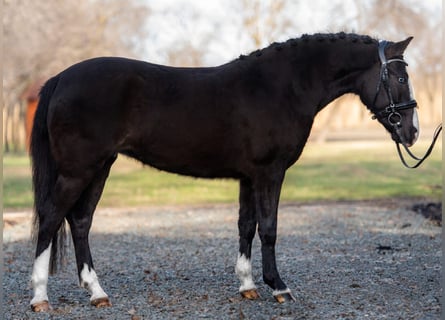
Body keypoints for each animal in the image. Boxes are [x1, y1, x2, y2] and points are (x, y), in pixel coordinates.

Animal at [30, 32, 416, 310]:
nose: (412, 132)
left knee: (80, 221)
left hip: (99, 167)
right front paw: (279, 287)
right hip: (79, 170)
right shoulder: (270, 173)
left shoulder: (249, 177)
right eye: (399, 77)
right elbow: (269, 228)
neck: (282, 87)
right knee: (51, 219)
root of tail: (61, 77)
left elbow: (247, 226)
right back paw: (40, 297)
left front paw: (247, 285)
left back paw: (97, 292)